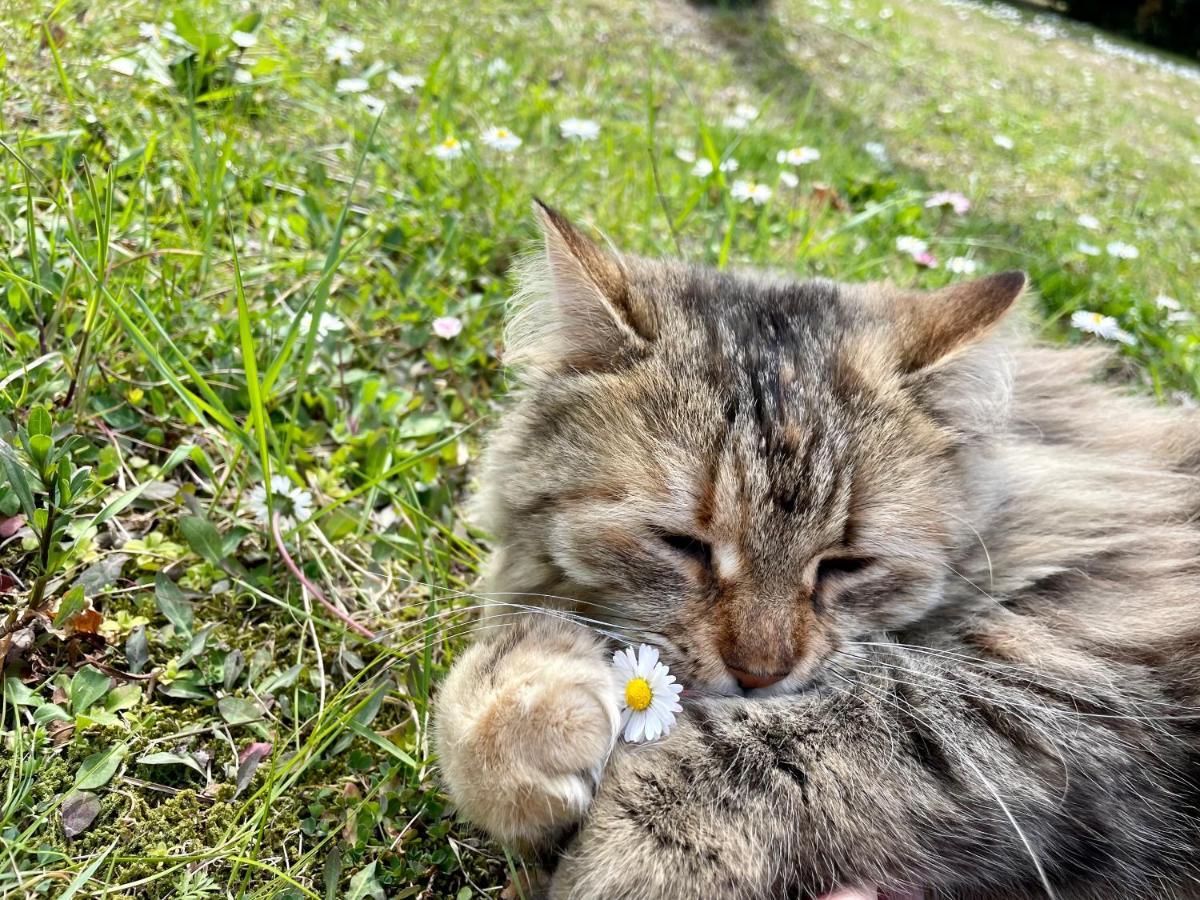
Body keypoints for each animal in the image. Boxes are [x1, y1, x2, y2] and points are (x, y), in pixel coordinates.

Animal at [432, 204, 1200, 900]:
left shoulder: (1071, 687)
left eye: (845, 565)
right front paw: (525, 715)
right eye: (684, 545)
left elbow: (826, 730)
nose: (759, 674)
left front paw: (622, 857)